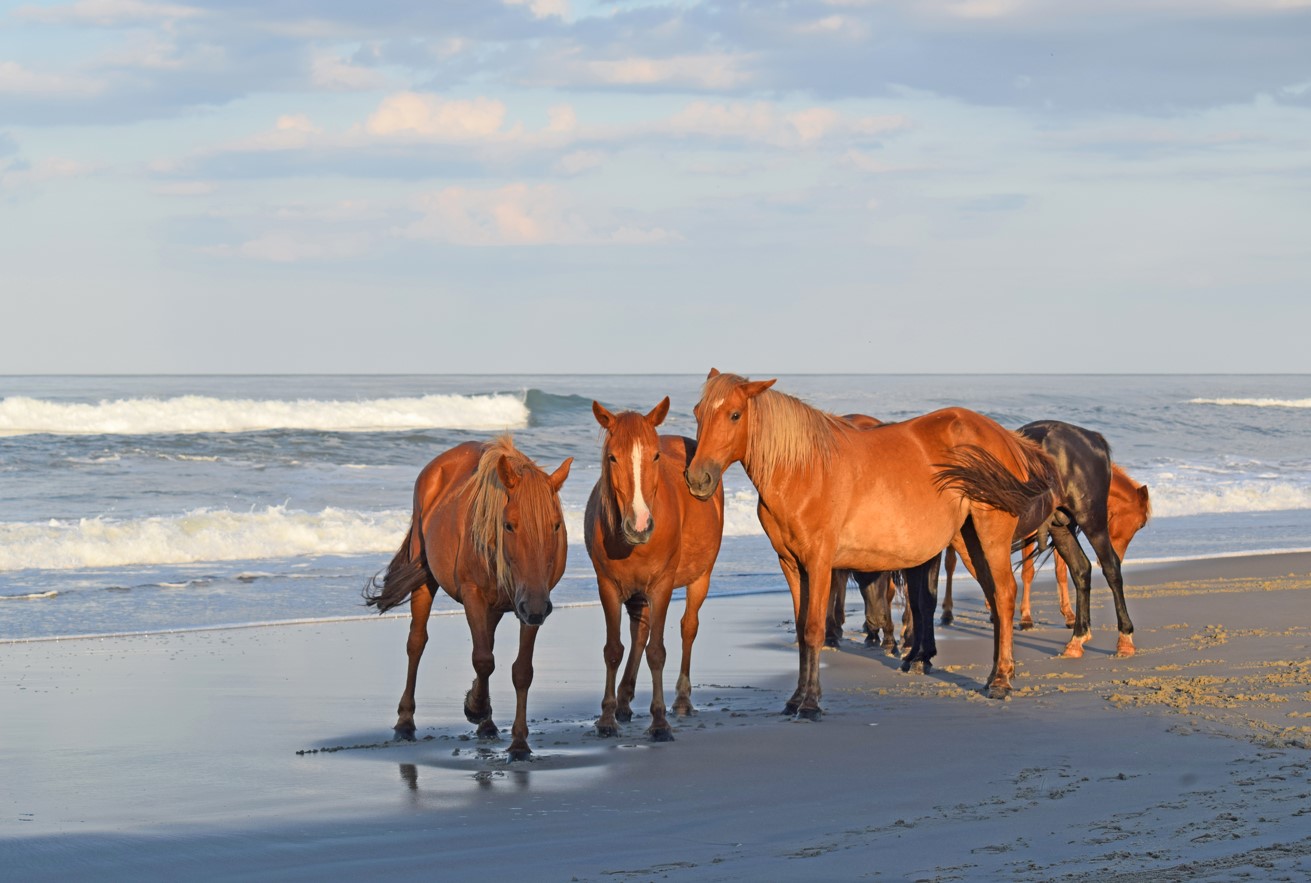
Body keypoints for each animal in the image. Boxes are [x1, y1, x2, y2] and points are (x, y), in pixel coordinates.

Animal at [361, 432, 571, 754]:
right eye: (509, 525)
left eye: (556, 525)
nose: (536, 607)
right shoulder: (476, 596)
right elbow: (483, 660)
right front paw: (475, 707)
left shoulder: (530, 603)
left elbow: (521, 670)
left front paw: (518, 743)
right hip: (426, 581)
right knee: (417, 643)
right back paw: (406, 722)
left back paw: (487, 725)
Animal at [587, 398, 728, 733]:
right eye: (612, 457)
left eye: (655, 455)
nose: (639, 525)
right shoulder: (607, 586)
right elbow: (614, 650)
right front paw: (607, 717)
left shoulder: (662, 587)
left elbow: (657, 652)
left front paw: (660, 721)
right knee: (639, 632)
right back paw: (625, 701)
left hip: (700, 578)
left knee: (688, 628)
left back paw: (682, 700)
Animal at [681, 366, 1059, 712]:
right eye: (697, 412)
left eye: (734, 414)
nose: (698, 479)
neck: (802, 470)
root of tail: (1006, 437)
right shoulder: (790, 564)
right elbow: (802, 630)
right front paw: (796, 699)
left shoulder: (820, 562)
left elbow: (814, 629)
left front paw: (810, 703)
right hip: (969, 541)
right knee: (995, 598)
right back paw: (994, 675)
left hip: (990, 535)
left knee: (1005, 595)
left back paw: (1001, 682)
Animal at [943, 463, 1148, 628]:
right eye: (1141, 524)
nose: (1118, 557)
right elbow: (1027, 572)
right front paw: (1026, 617)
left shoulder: (1059, 530)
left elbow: (1062, 572)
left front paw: (1069, 615)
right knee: (951, 564)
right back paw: (947, 612)